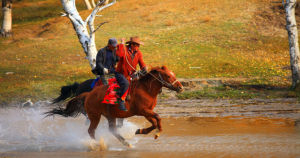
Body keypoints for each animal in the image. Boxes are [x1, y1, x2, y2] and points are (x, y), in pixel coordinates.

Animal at [46, 65, 183, 147]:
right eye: (168, 76)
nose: (180, 87)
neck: (145, 89)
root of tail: (88, 94)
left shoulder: (147, 111)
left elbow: (154, 122)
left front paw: (140, 131)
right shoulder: (143, 110)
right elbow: (158, 118)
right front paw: (157, 133)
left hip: (110, 115)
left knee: (112, 130)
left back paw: (126, 143)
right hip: (95, 116)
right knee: (91, 130)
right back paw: (97, 144)